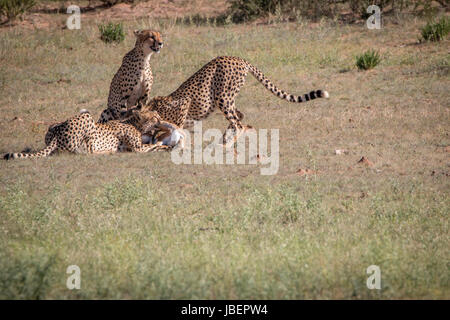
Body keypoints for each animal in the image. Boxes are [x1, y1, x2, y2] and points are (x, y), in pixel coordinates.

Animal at [2, 110, 164, 160]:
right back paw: (106, 151)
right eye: (155, 117)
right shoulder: (137, 149)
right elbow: (150, 146)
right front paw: (162, 145)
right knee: (86, 152)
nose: (161, 120)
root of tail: (56, 133)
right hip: (87, 116)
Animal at [125, 55, 326, 146]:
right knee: (239, 116)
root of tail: (239, 59)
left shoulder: (183, 105)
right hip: (227, 99)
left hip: (223, 98)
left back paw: (228, 144)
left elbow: (174, 127)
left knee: (239, 123)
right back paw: (224, 138)